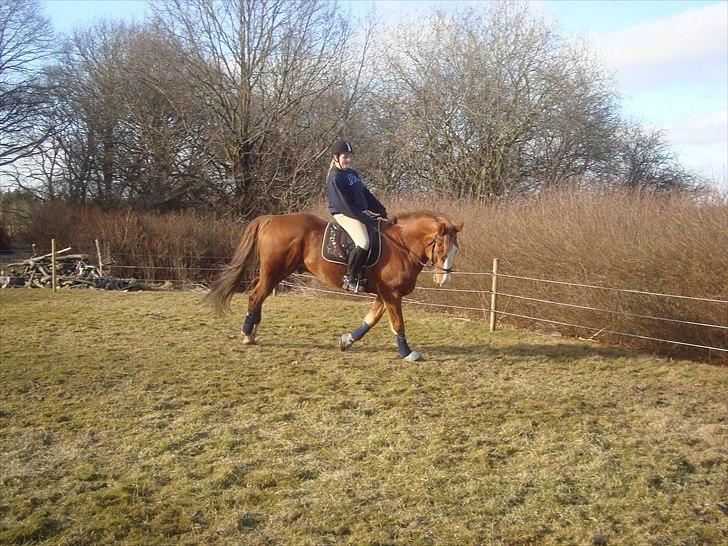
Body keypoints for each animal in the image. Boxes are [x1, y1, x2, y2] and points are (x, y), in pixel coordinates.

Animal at [205, 210, 464, 360]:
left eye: (455, 249)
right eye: (440, 248)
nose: (444, 279)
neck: (400, 245)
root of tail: (271, 218)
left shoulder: (385, 294)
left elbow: (371, 320)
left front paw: (347, 340)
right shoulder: (391, 293)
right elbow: (397, 323)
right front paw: (407, 353)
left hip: (275, 272)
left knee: (257, 292)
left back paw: (253, 330)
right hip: (274, 271)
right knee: (256, 295)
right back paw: (247, 335)